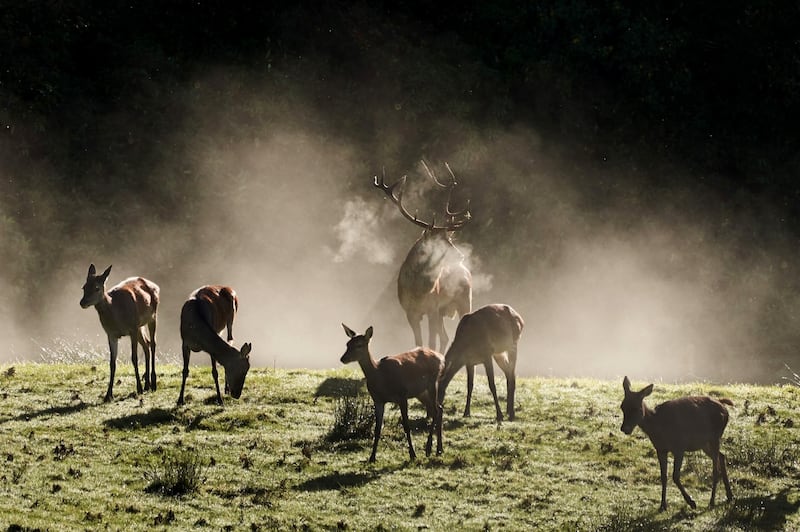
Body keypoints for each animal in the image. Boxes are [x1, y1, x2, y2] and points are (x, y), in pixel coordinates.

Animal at [79, 264, 159, 402]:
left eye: (96, 288)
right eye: (84, 287)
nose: (82, 302)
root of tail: (155, 285)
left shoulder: (132, 329)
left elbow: (134, 358)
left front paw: (138, 388)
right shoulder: (111, 334)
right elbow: (112, 363)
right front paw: (108, 395)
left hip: (152, 316)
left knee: (153, 344)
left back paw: (152, 384)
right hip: (140, 326)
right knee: (146, 344)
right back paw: (147, 384)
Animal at [340, 322, 446, 464]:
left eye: (359, 345)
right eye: (347, 344)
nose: (343, 358)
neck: (380, 376)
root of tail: (441, 357)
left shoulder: (402, 395)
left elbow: (406, 426)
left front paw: (412, 454)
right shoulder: (378, 400)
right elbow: (377, 429)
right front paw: (372, 457)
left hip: (432, 383)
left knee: (435, 410)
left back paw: (429, 449)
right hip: (421, 392)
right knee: (439, 408)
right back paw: (439, 449)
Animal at [374, 160, 472, 356]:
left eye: (450, 239)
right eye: (439, 241)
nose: (461, 255)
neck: (418, 290)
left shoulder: (432, 309)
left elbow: (430, 342)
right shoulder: (410, 312)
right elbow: (419, 341)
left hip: (464, 301)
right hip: (443, 311)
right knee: (445, 337)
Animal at [620, 374, 736, 512]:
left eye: (637, 408)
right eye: (622, 406)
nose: (625, 429)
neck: (658, 428)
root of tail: (724, 406)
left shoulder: (679, 446)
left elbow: (675, 476)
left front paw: (691, 502)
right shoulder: (660, 449)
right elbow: (663, 476)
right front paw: (662, 505)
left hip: (715, 436)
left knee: (715, 468)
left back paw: (712, 502)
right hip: (705, 443)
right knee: (722, 456)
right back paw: (729, 496)